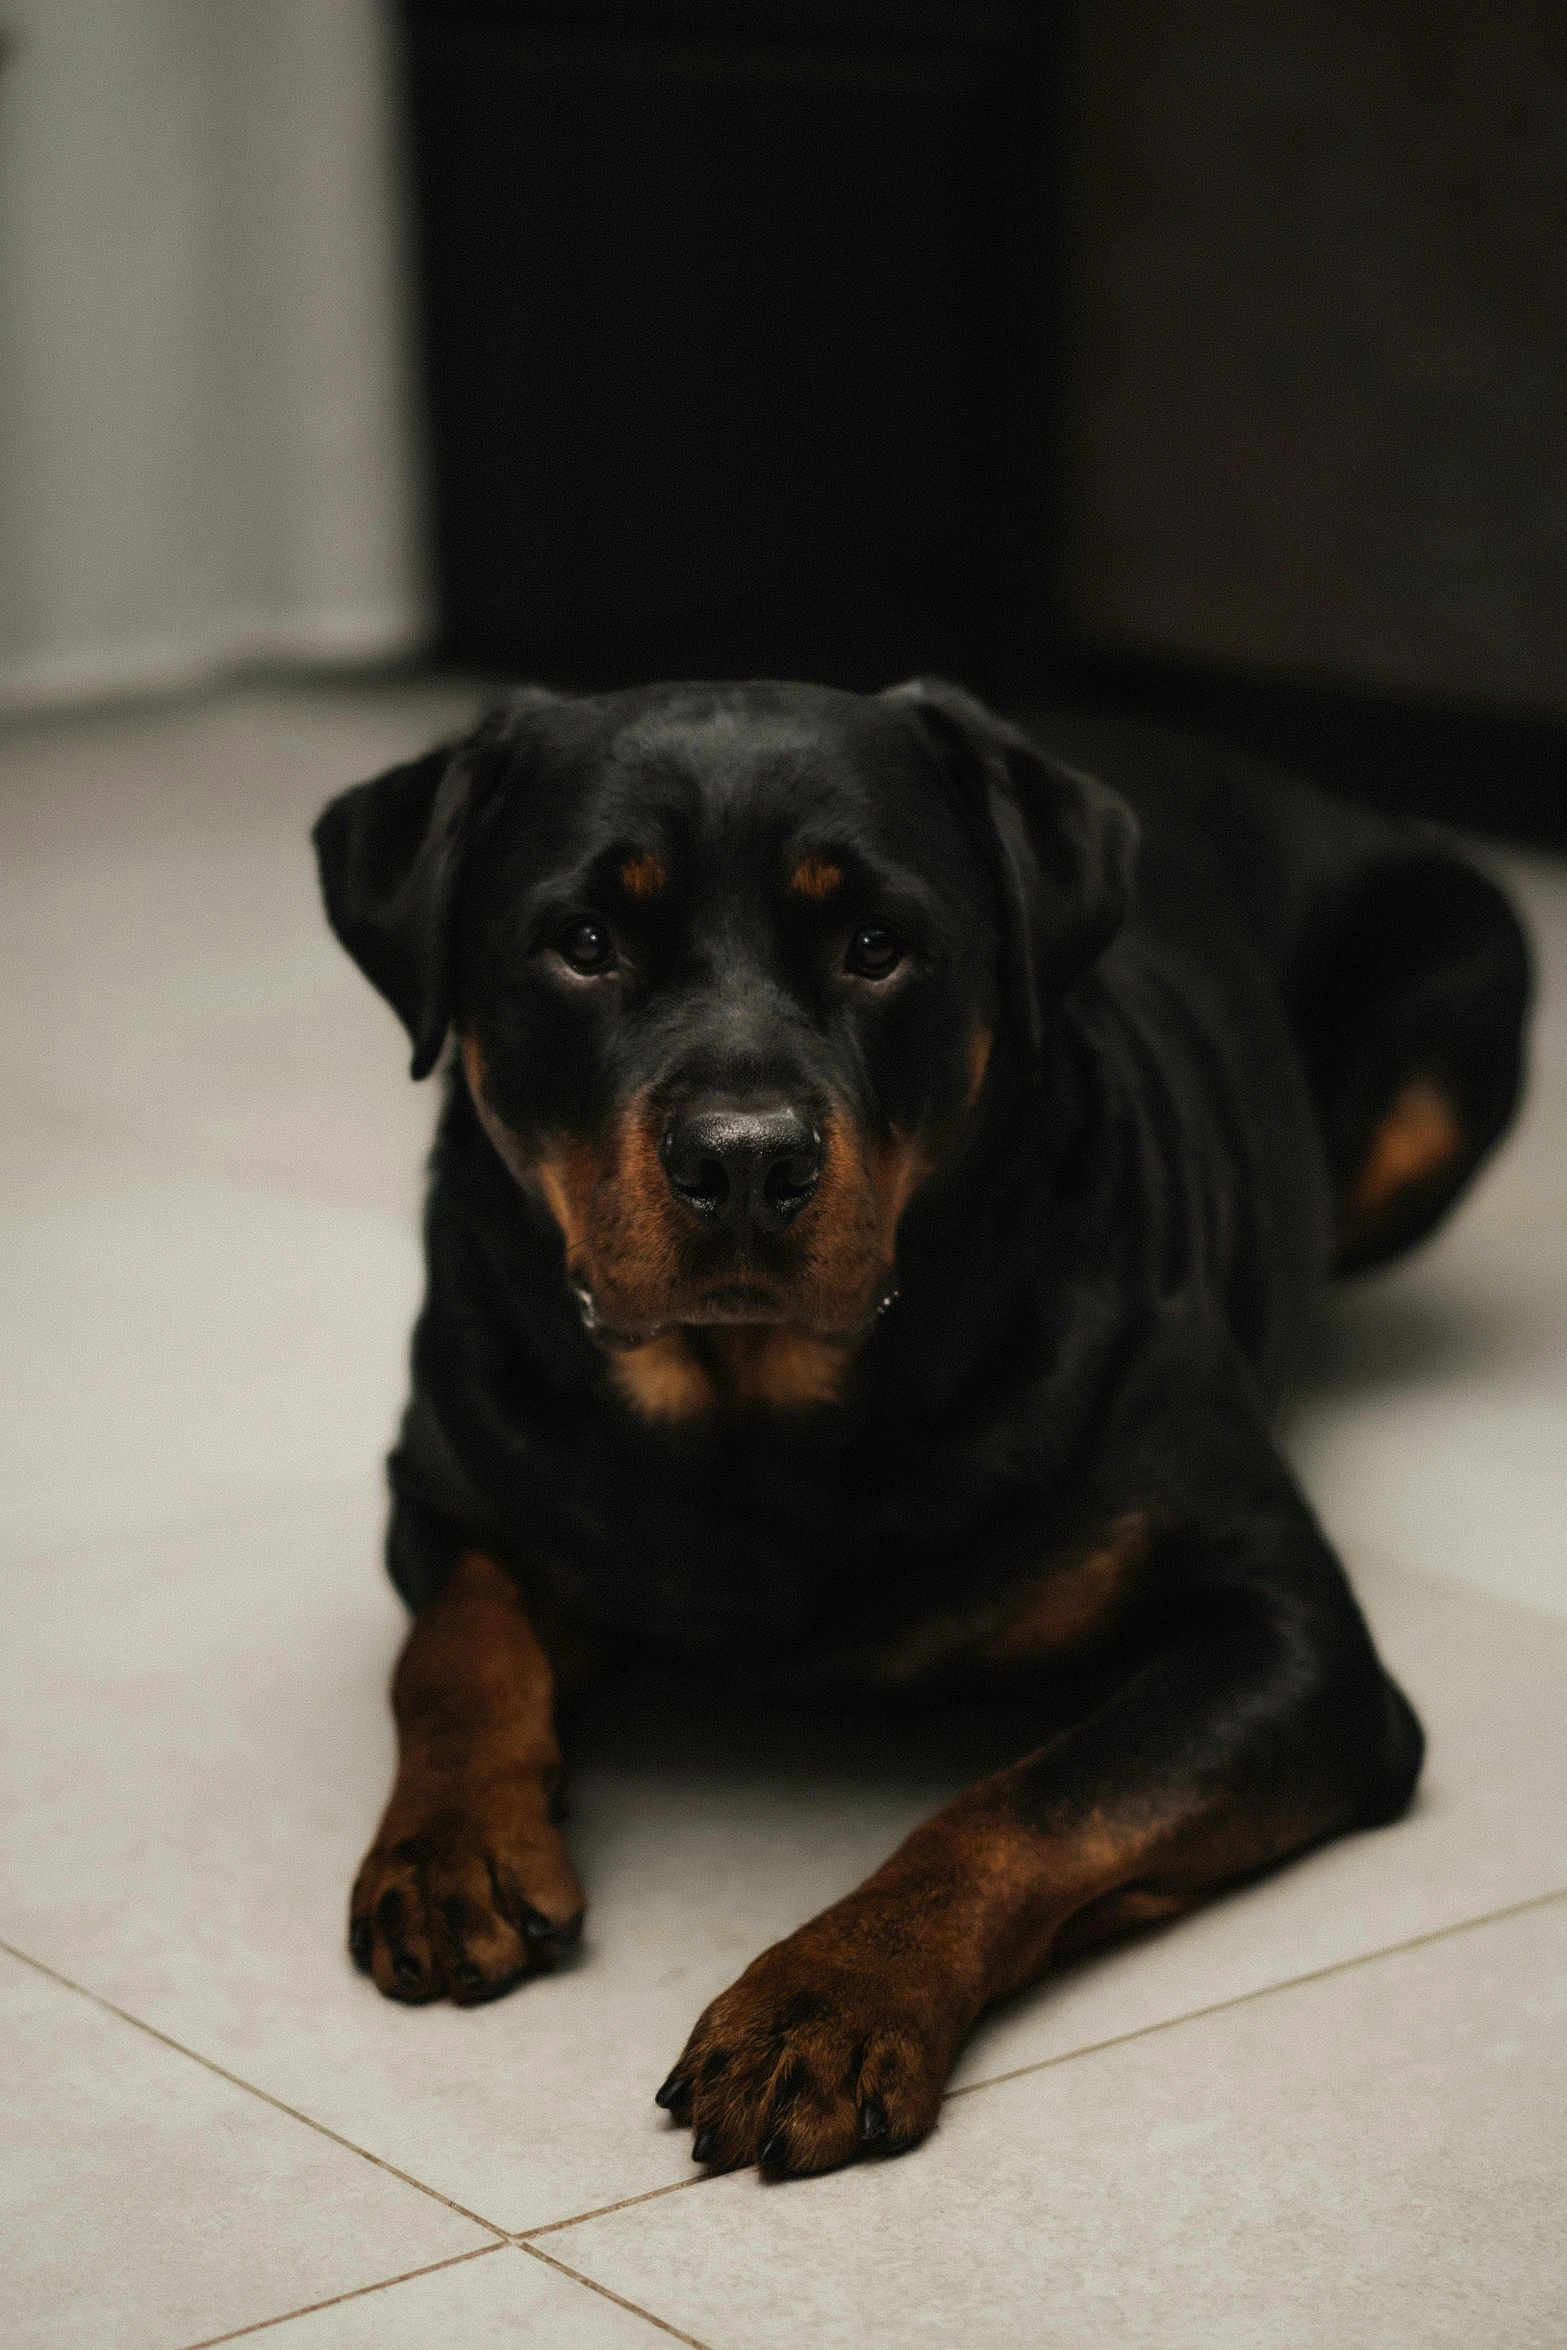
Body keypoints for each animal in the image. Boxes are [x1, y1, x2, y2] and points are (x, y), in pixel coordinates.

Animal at [312, 681, 1522, 2180]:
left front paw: (829, 1998)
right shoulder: (444, 1480)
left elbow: (1024, 1802)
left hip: (1464, 991)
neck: (753, 1415)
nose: (745, 1158)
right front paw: (447, 1848)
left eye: (876, 946)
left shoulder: (1291, 1647)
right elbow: (453, 1646)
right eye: (582, 944)